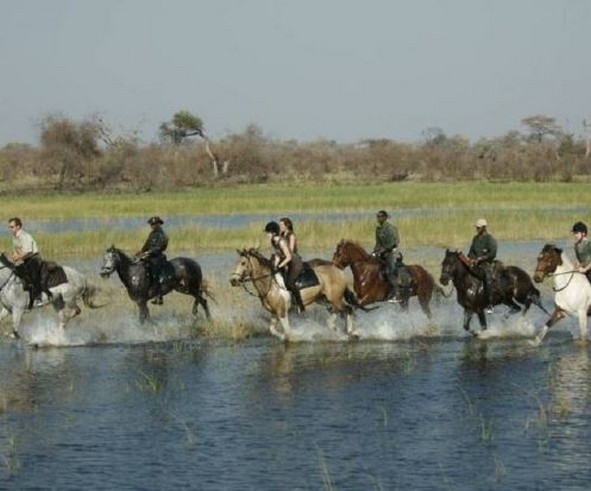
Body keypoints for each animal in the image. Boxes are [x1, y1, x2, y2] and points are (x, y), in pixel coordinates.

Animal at [230, 248, 366, 340]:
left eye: (243, 263)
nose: (233, 280)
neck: (270, 285)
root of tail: (338, 270)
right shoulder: (274, 312)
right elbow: (272, 330)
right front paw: (282, 336)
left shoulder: (282, 312)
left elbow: (287, 332)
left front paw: (293, 337)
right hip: (324, 299)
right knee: (335, 312)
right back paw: (335, 329)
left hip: (335, 299)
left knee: (348, 309)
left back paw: (351, 332)